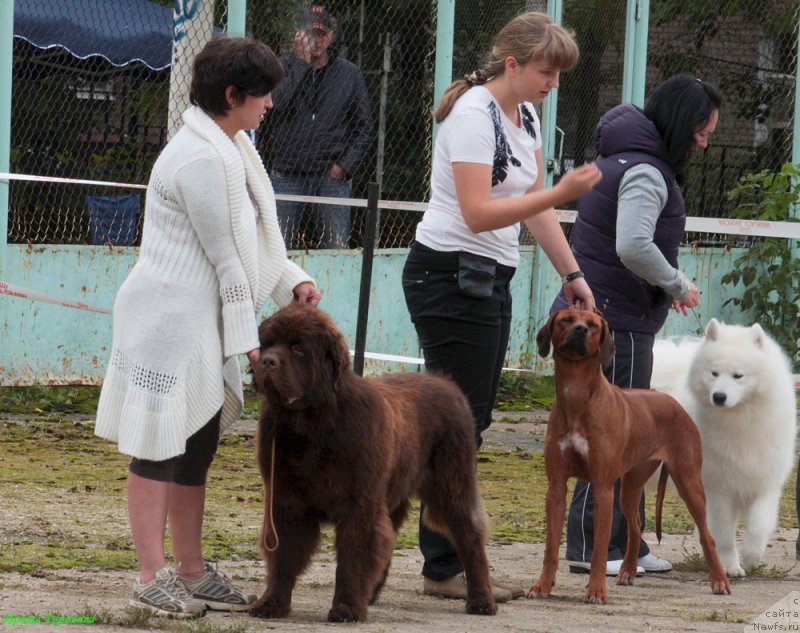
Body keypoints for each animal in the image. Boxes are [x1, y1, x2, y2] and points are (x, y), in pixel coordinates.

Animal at [652, 318, 796, 576]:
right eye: (714, 373)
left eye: (738, 375)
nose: (719, 396)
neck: (740, 421)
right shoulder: (719, 489)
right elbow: (725, 534)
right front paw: (730, 567)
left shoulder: (765, 483)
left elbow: (759, 526)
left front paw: (751, 558)